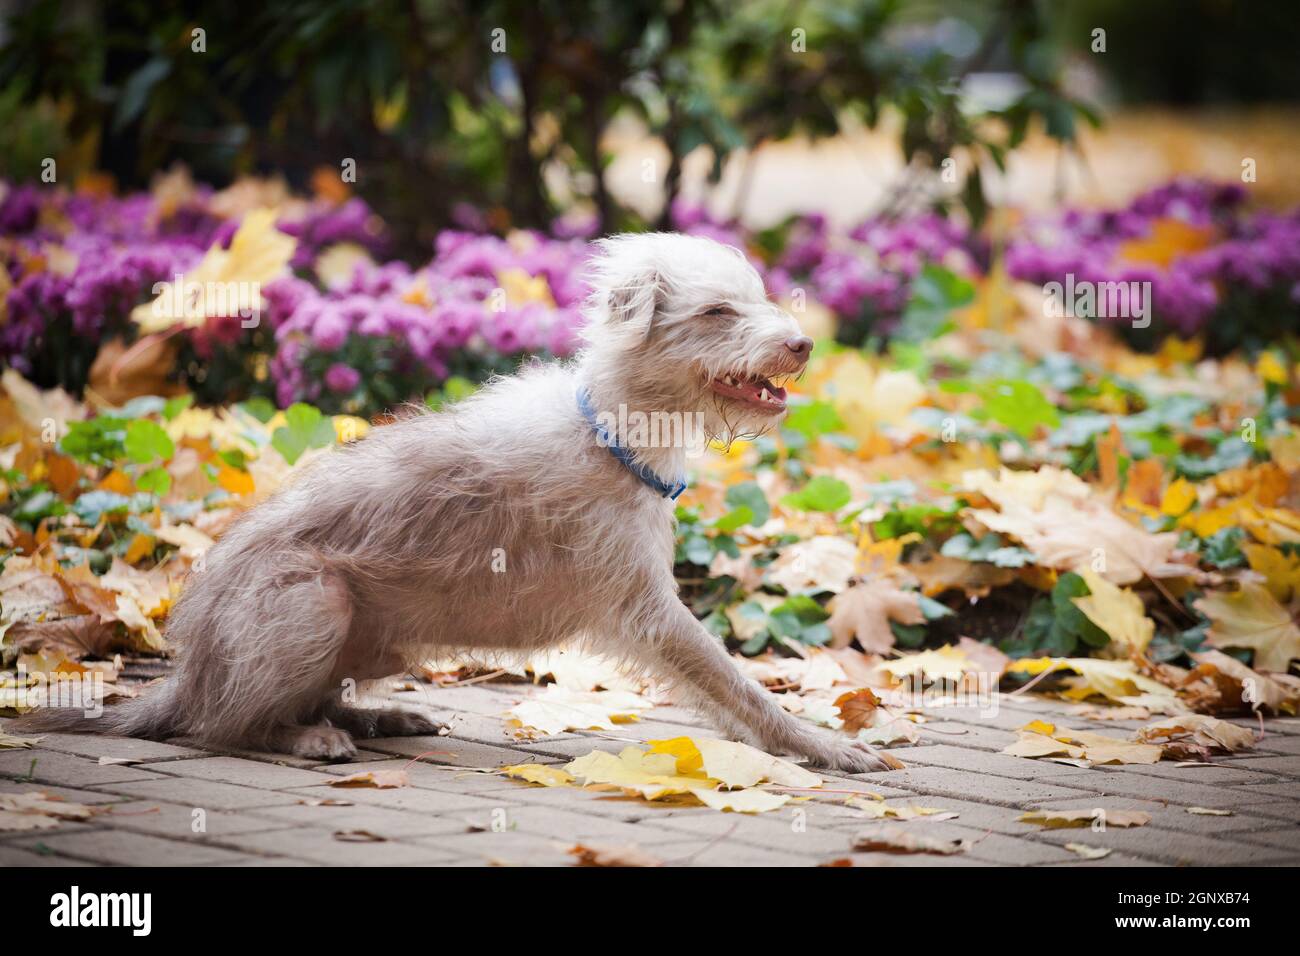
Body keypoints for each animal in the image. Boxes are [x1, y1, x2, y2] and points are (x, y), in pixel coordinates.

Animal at [20, 234, 894, 780]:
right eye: (716, 312)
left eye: (757, 299)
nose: (803, 345)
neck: (609, 430)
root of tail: (189, 672)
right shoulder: (648, 611)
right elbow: (738, 685)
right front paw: (821, 746)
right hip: (314, 600)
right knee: (228, 725)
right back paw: (310, 739)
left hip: (373, 641)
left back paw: (378, 719)